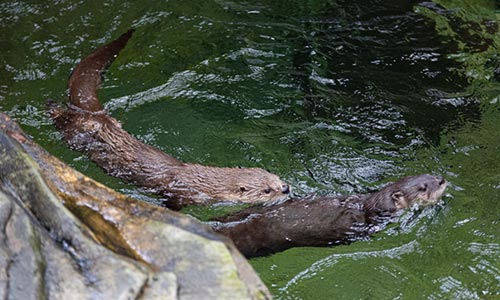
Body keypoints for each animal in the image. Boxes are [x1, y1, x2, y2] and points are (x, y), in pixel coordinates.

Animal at [50, 29, 290, 209]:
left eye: (277, 178)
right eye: (267, 190)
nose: (286, 188)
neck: (207, 184)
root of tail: (98, 116)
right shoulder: (180, 194)